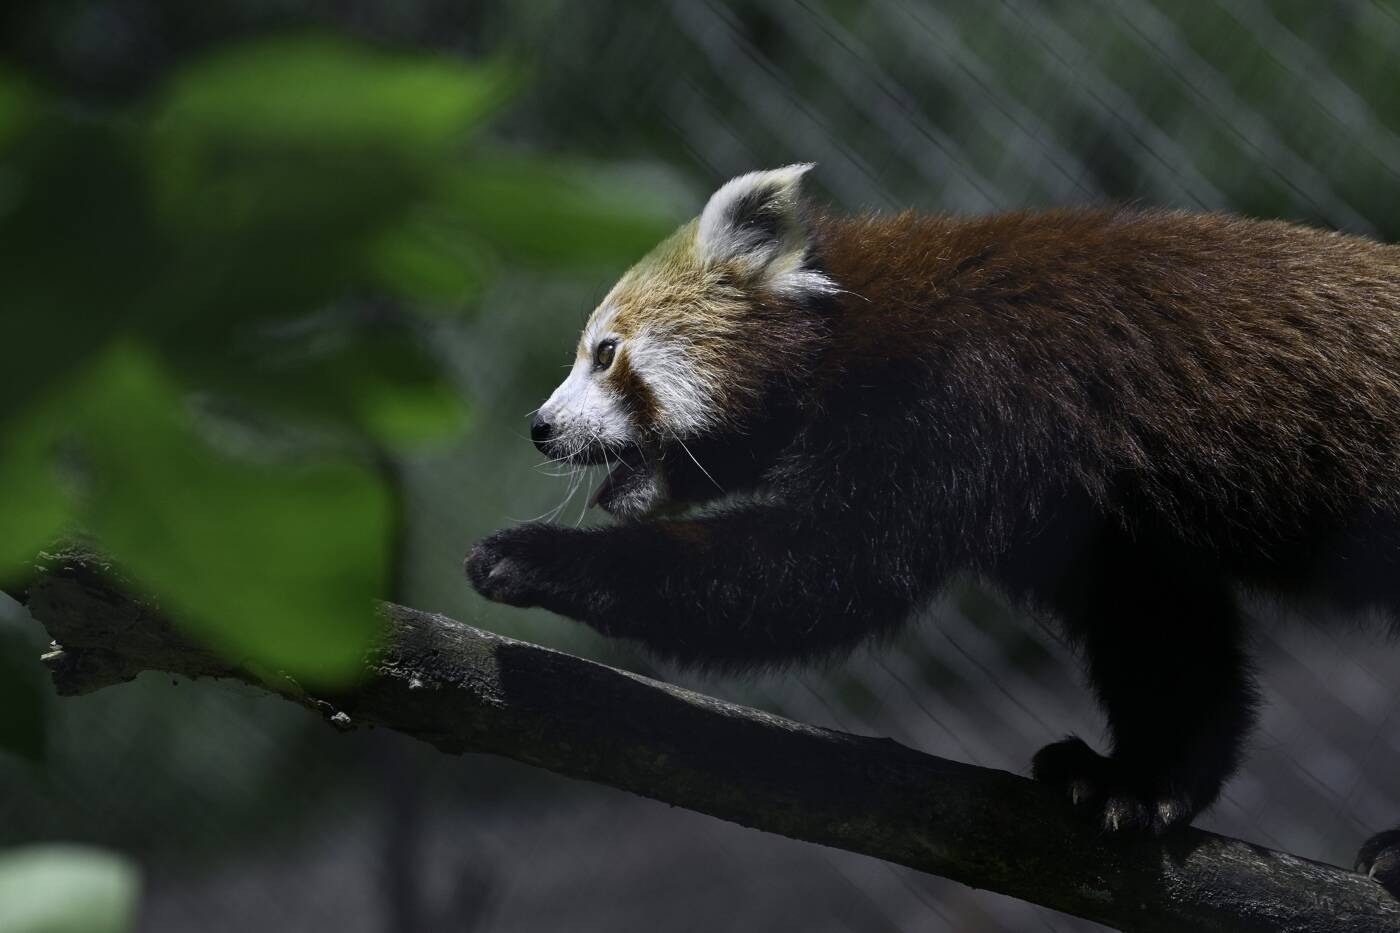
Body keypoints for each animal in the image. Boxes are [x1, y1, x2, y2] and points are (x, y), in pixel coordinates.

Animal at [464, 163, 1400, 890]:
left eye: (605, 353)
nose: (540, 428)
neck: (849, 334)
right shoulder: (1087, 511)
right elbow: (1160, 628)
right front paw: (1138, 782)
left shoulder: (958, 404)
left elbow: (828, 568)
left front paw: (533, 557)